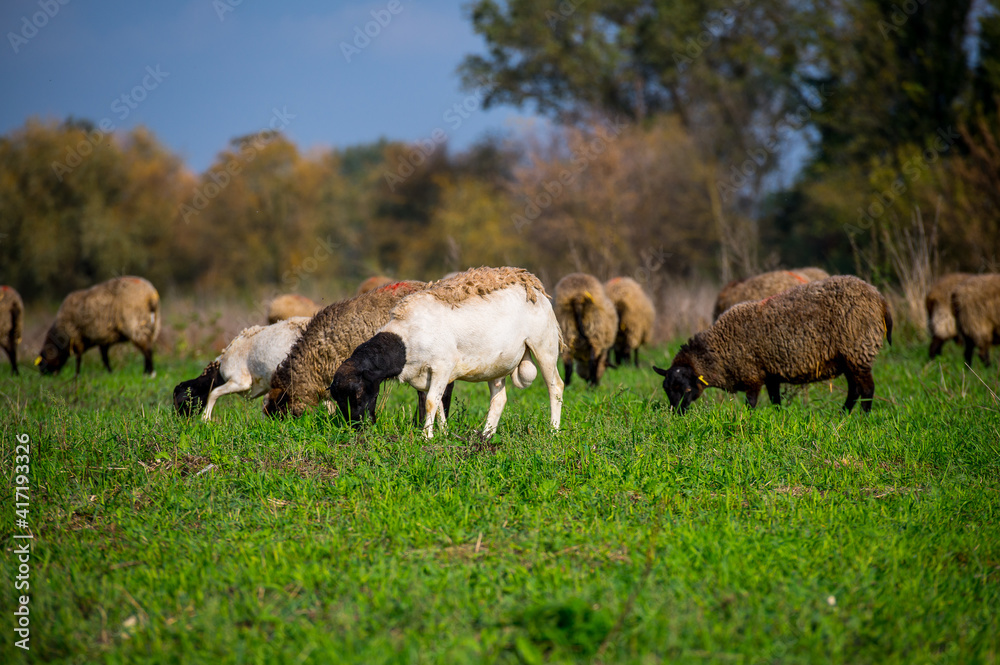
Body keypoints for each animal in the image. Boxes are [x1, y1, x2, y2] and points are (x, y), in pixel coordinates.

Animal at [173, 317, 310, 420]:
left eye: (180, 398)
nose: (177, 421)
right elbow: (267, 403)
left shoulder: (239, 382)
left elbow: (213, 393)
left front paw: (205, 420)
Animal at [330, 266, 563, 439]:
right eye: (337, 399)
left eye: (358, 391)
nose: (356, 428)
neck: (405, 341)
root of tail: (534, 286)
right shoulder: (428, 375)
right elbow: (438, 402)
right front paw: (443, 433)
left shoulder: (443, 366)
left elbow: (432, 402)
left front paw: (427, 436)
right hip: (496, 364)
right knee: (499, 399)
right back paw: (486, 435)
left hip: (545, 345)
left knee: (555, 387)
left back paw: (553, 430)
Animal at [654, 276, 892, 414]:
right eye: (666, 388)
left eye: (686, 388)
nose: (676, 414)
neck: (720, 349)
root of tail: (879, 297)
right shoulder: (770, 374)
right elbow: (776, 400)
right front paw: (778, 418)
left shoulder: (752, 375)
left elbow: (751, 404)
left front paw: (748, 421)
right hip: (849, 358)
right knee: (854, 389)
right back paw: (844, 415)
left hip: (858, 349)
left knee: (867, 388)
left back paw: (863, 418)